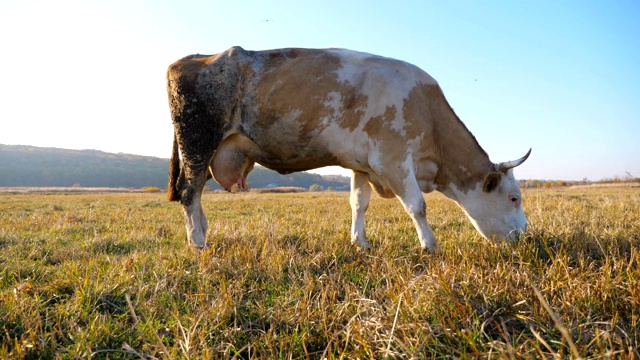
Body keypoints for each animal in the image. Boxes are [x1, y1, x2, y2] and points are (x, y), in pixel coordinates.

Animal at [165, 46, 528, 252]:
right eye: (513, 198)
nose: (525, 236)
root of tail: (191, 59)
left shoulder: (363, 165)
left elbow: (359, 203)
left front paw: (361, 242)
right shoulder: (393, 159)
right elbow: (418, 206)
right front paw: (430, 245)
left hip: (210, 150)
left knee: (195, 193)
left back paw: (202, 232)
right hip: (198, 141)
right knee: (189, 190)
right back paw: (197, 241)